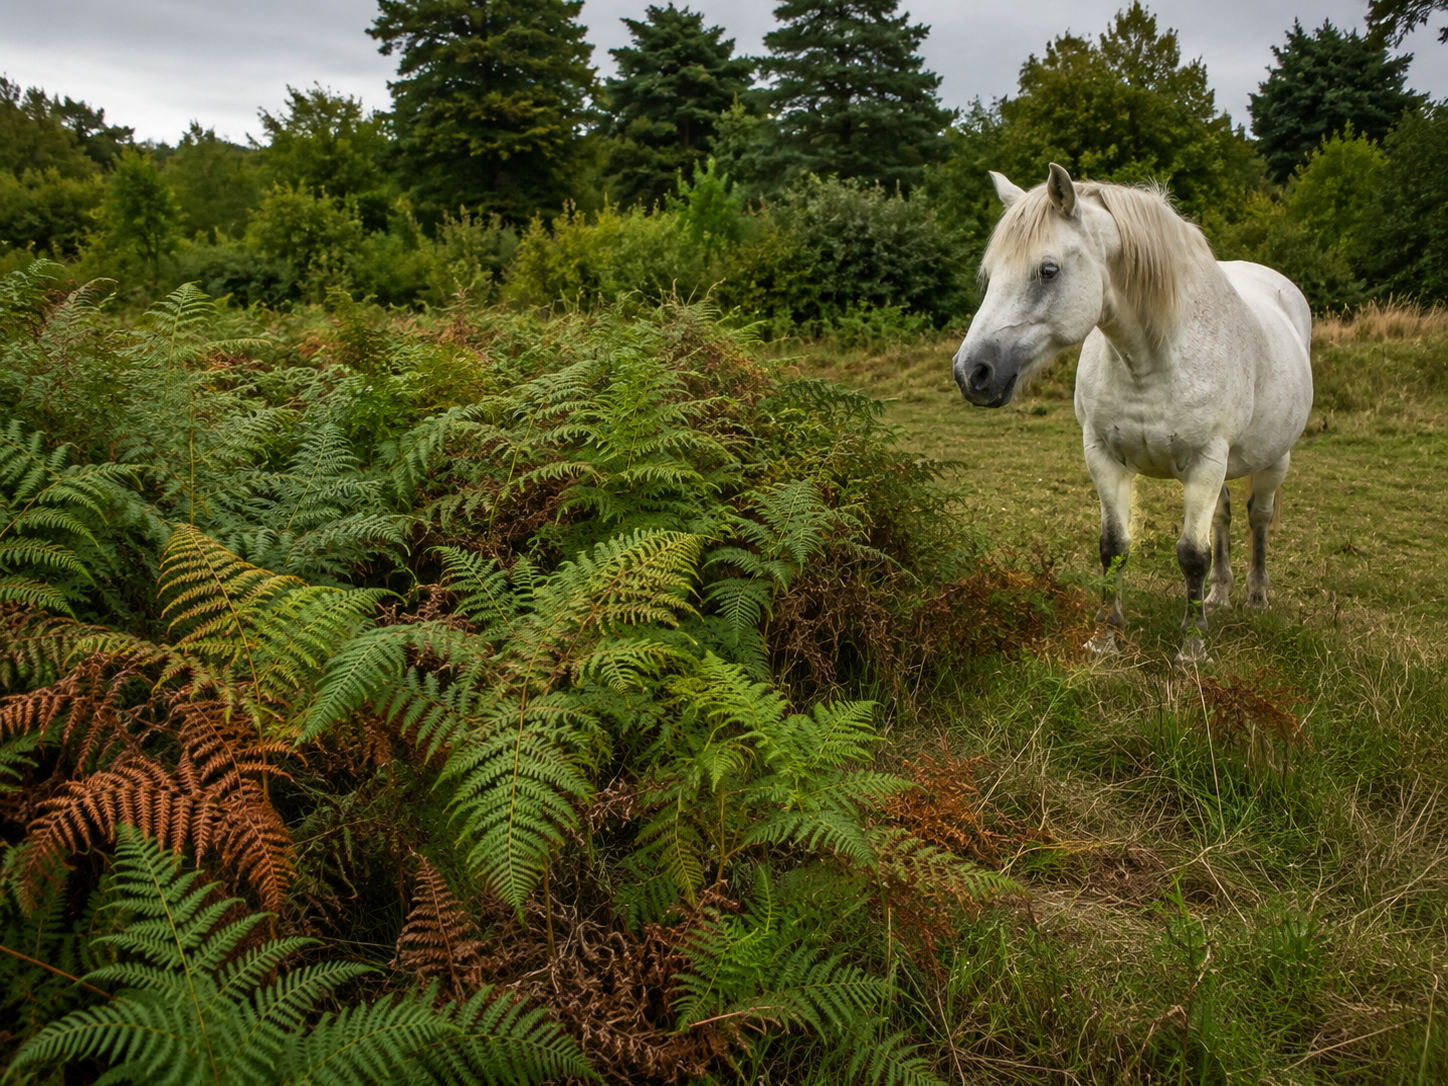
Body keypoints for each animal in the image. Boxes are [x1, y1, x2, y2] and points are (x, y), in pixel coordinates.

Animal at [952, 164, 1313, 663]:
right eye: (990, 273)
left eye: (1048, 270)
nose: (972, 372)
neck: (1152, 359)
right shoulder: (1103, 454)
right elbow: (1114, 546)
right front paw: (1105, 636)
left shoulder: (1206, 461)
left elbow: (1192, 555)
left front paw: (1192, 648)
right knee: (1222, 519)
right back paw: (1219, 594)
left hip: (1275, 458)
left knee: (1258, 518)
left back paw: (1256, 597)